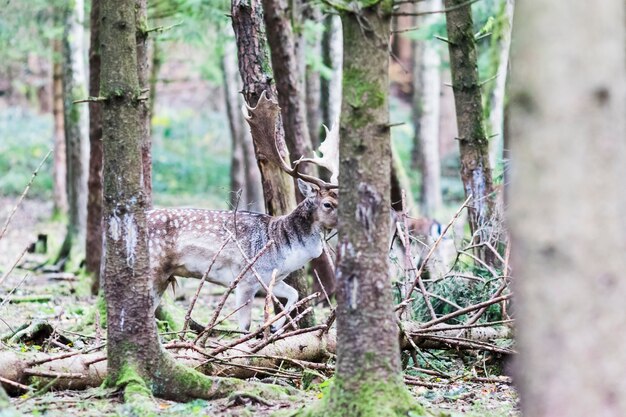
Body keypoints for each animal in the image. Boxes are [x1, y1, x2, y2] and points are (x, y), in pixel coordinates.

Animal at [146, 92, 336, 332]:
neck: (284, 251)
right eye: (328, 204)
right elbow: (244, 327)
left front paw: (275, 326)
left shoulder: (271, 278)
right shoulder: (245, 278)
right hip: (154, 267)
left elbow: (293, 293)